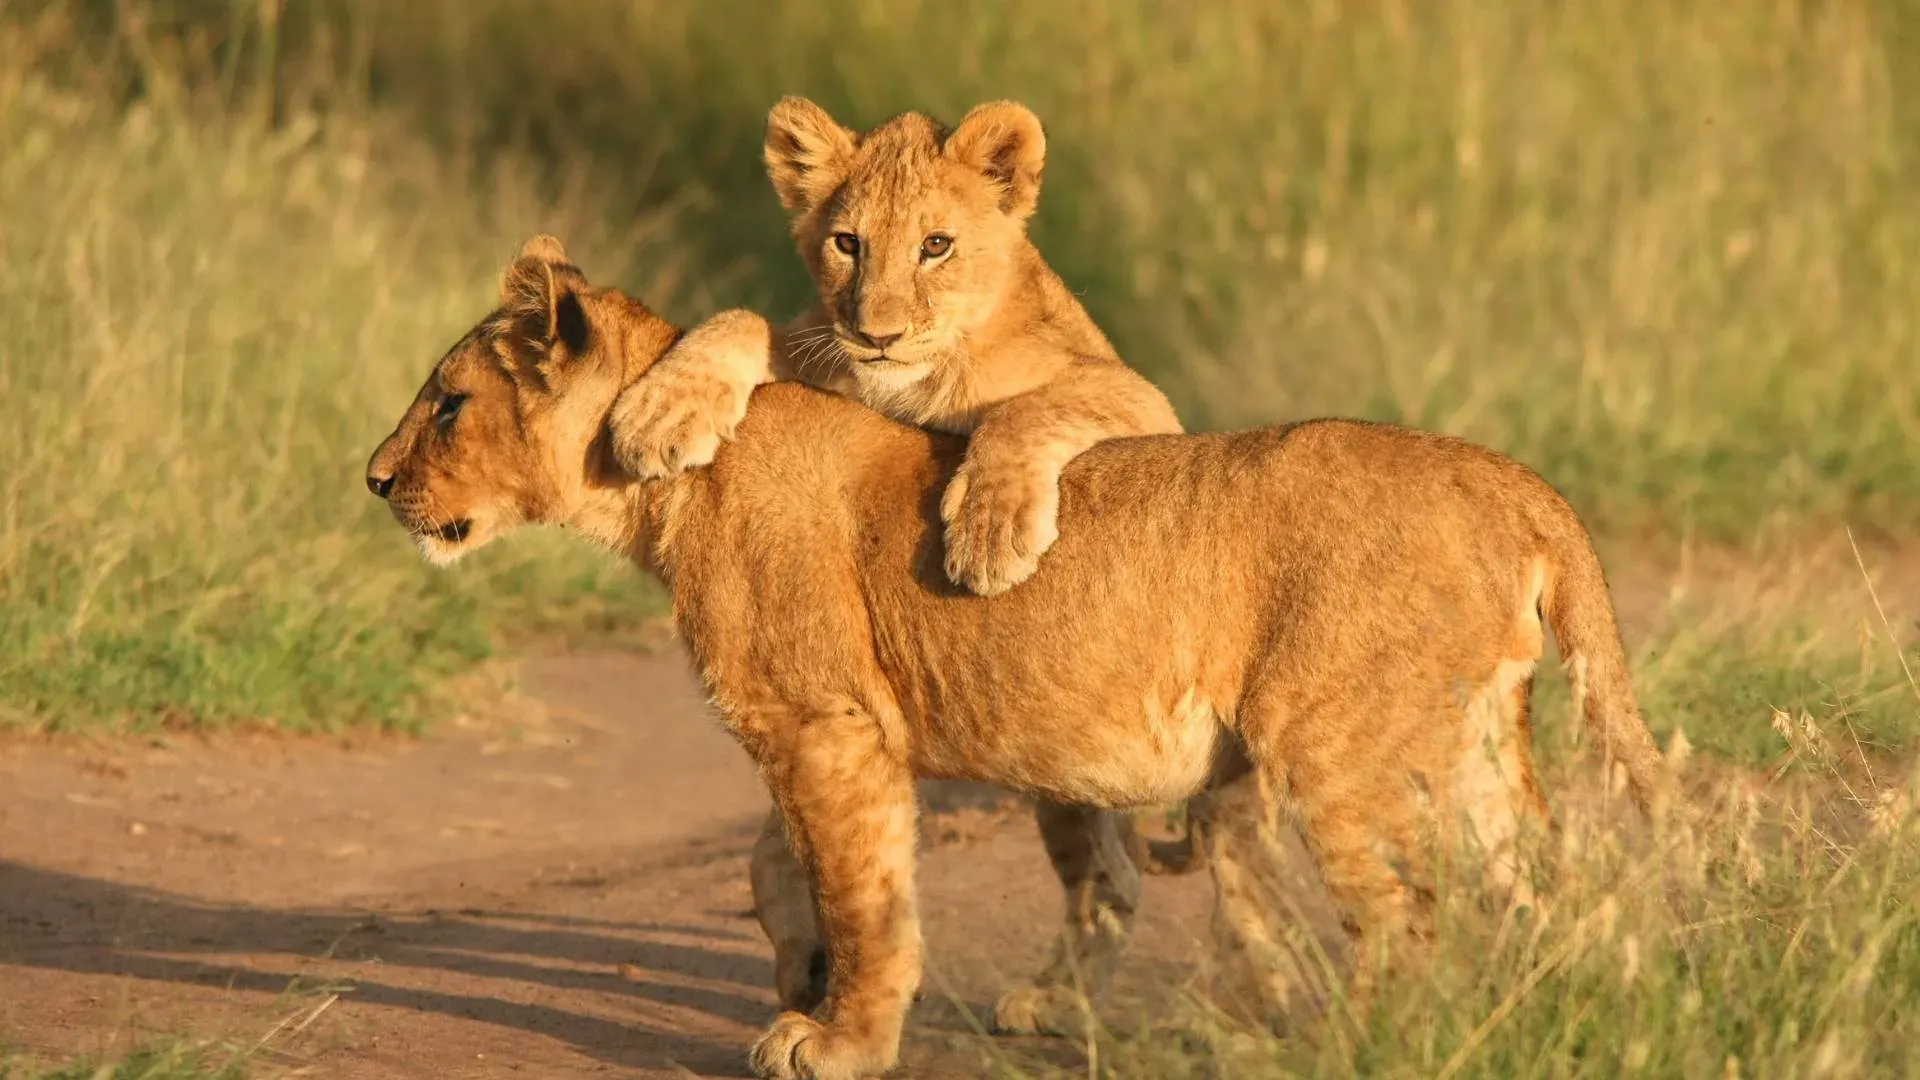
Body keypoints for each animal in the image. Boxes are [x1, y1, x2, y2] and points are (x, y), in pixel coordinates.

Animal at [366, 238, 1668, 1080]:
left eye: (448, 404)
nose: (374, 480)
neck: (657, 493)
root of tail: (1511, 478)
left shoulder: (826, 728)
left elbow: (866, 894)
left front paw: (838, 1039)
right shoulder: (852, 727)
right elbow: (774, 863)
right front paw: (802, 971)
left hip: (1338, 748)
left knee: (1405, 927)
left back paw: (1362, 1049)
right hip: (1477, 746)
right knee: (1544, 902)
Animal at [607, 96, 1191, 1032]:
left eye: (936, 245)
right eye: (848, 243)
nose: (875, 333)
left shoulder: (1140, 401)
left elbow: (1030, 408)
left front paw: (989, 534)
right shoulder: (822, 352)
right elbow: (746, 319)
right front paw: (664, 408)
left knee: (1120, 876)